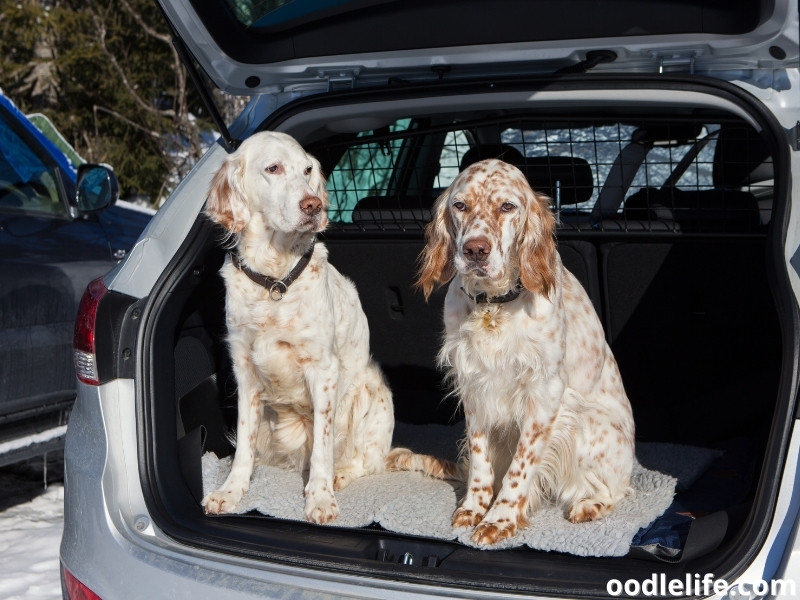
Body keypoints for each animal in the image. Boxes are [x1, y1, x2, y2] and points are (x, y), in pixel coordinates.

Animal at [416, 157, 636, 548]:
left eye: (507, 206)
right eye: (460, 205)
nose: (475, 250)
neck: (494, 306)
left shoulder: (544, 393)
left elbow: (520, 468)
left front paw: (500, 519)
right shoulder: (474, 385)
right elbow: (480, 458)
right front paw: (474, 507)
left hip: (587, 423)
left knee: (616, 490)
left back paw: (589, 504)